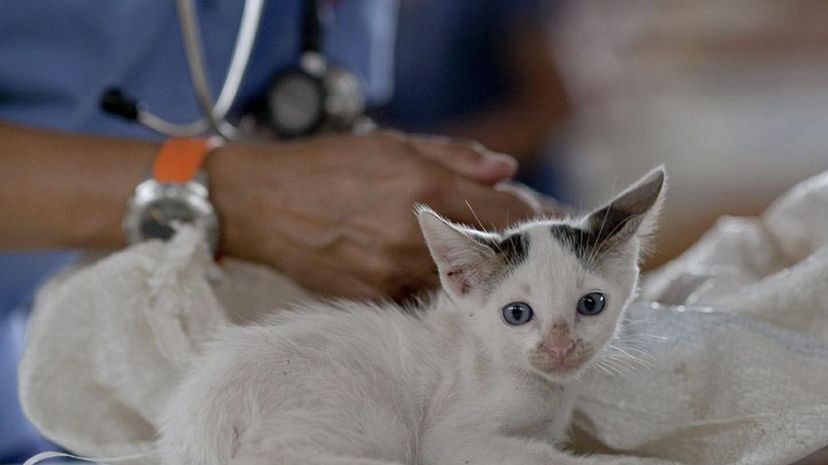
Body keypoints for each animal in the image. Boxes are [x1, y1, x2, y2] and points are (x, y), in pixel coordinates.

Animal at [158, 169, 668, 464]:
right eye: (517, 313)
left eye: (591, 304)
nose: (560, 347)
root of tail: (202, 430)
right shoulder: (452, 441)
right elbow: (549, 458)